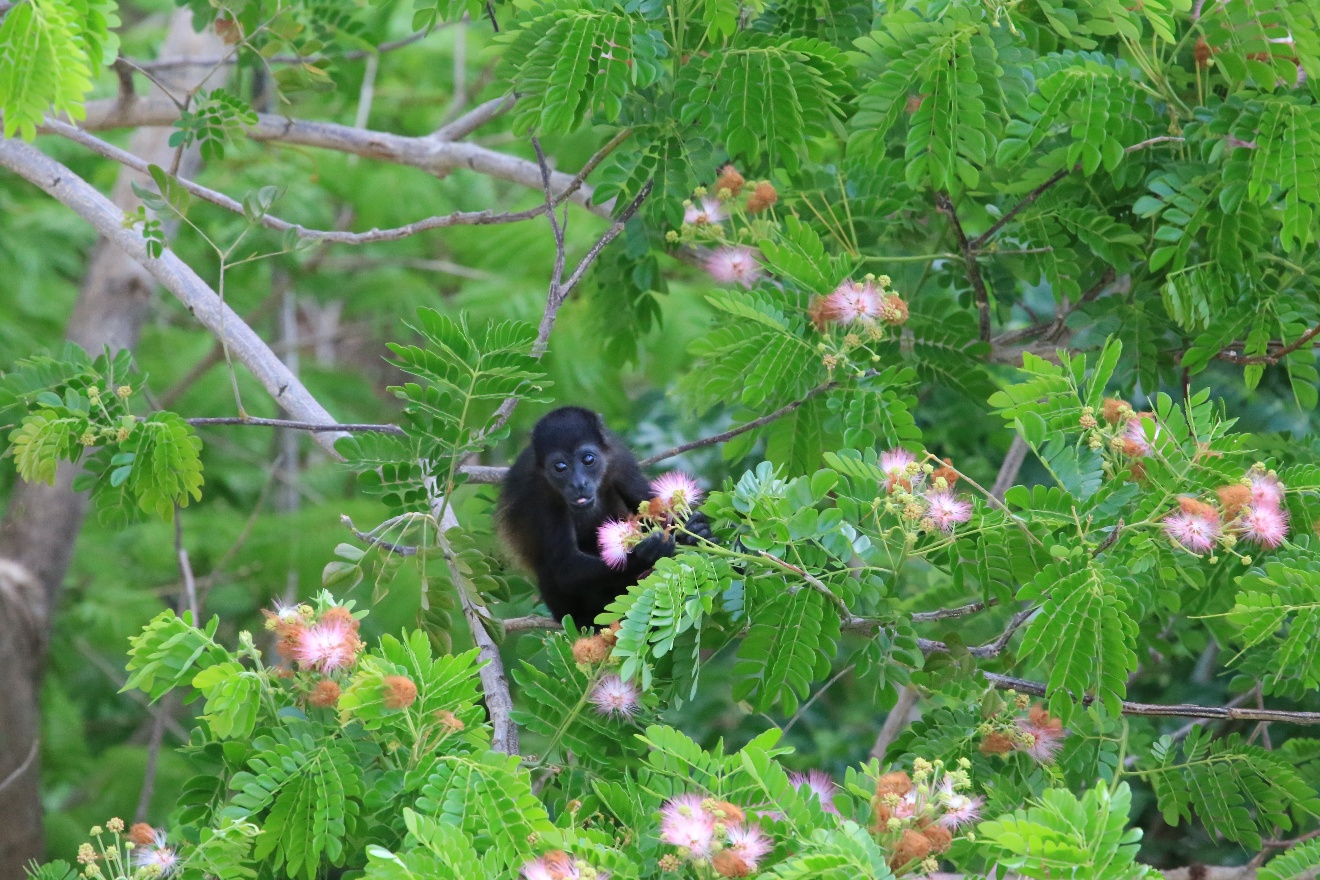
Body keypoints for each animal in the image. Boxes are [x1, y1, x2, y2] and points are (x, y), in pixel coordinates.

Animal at [497, 406, 711, 626]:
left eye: (588, 459)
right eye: (560, 467)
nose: (579, 483)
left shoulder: (620, 459)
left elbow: (650, 505)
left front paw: (696, 530)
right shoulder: (536, 492)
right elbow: (564, 565)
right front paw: (645, 555)